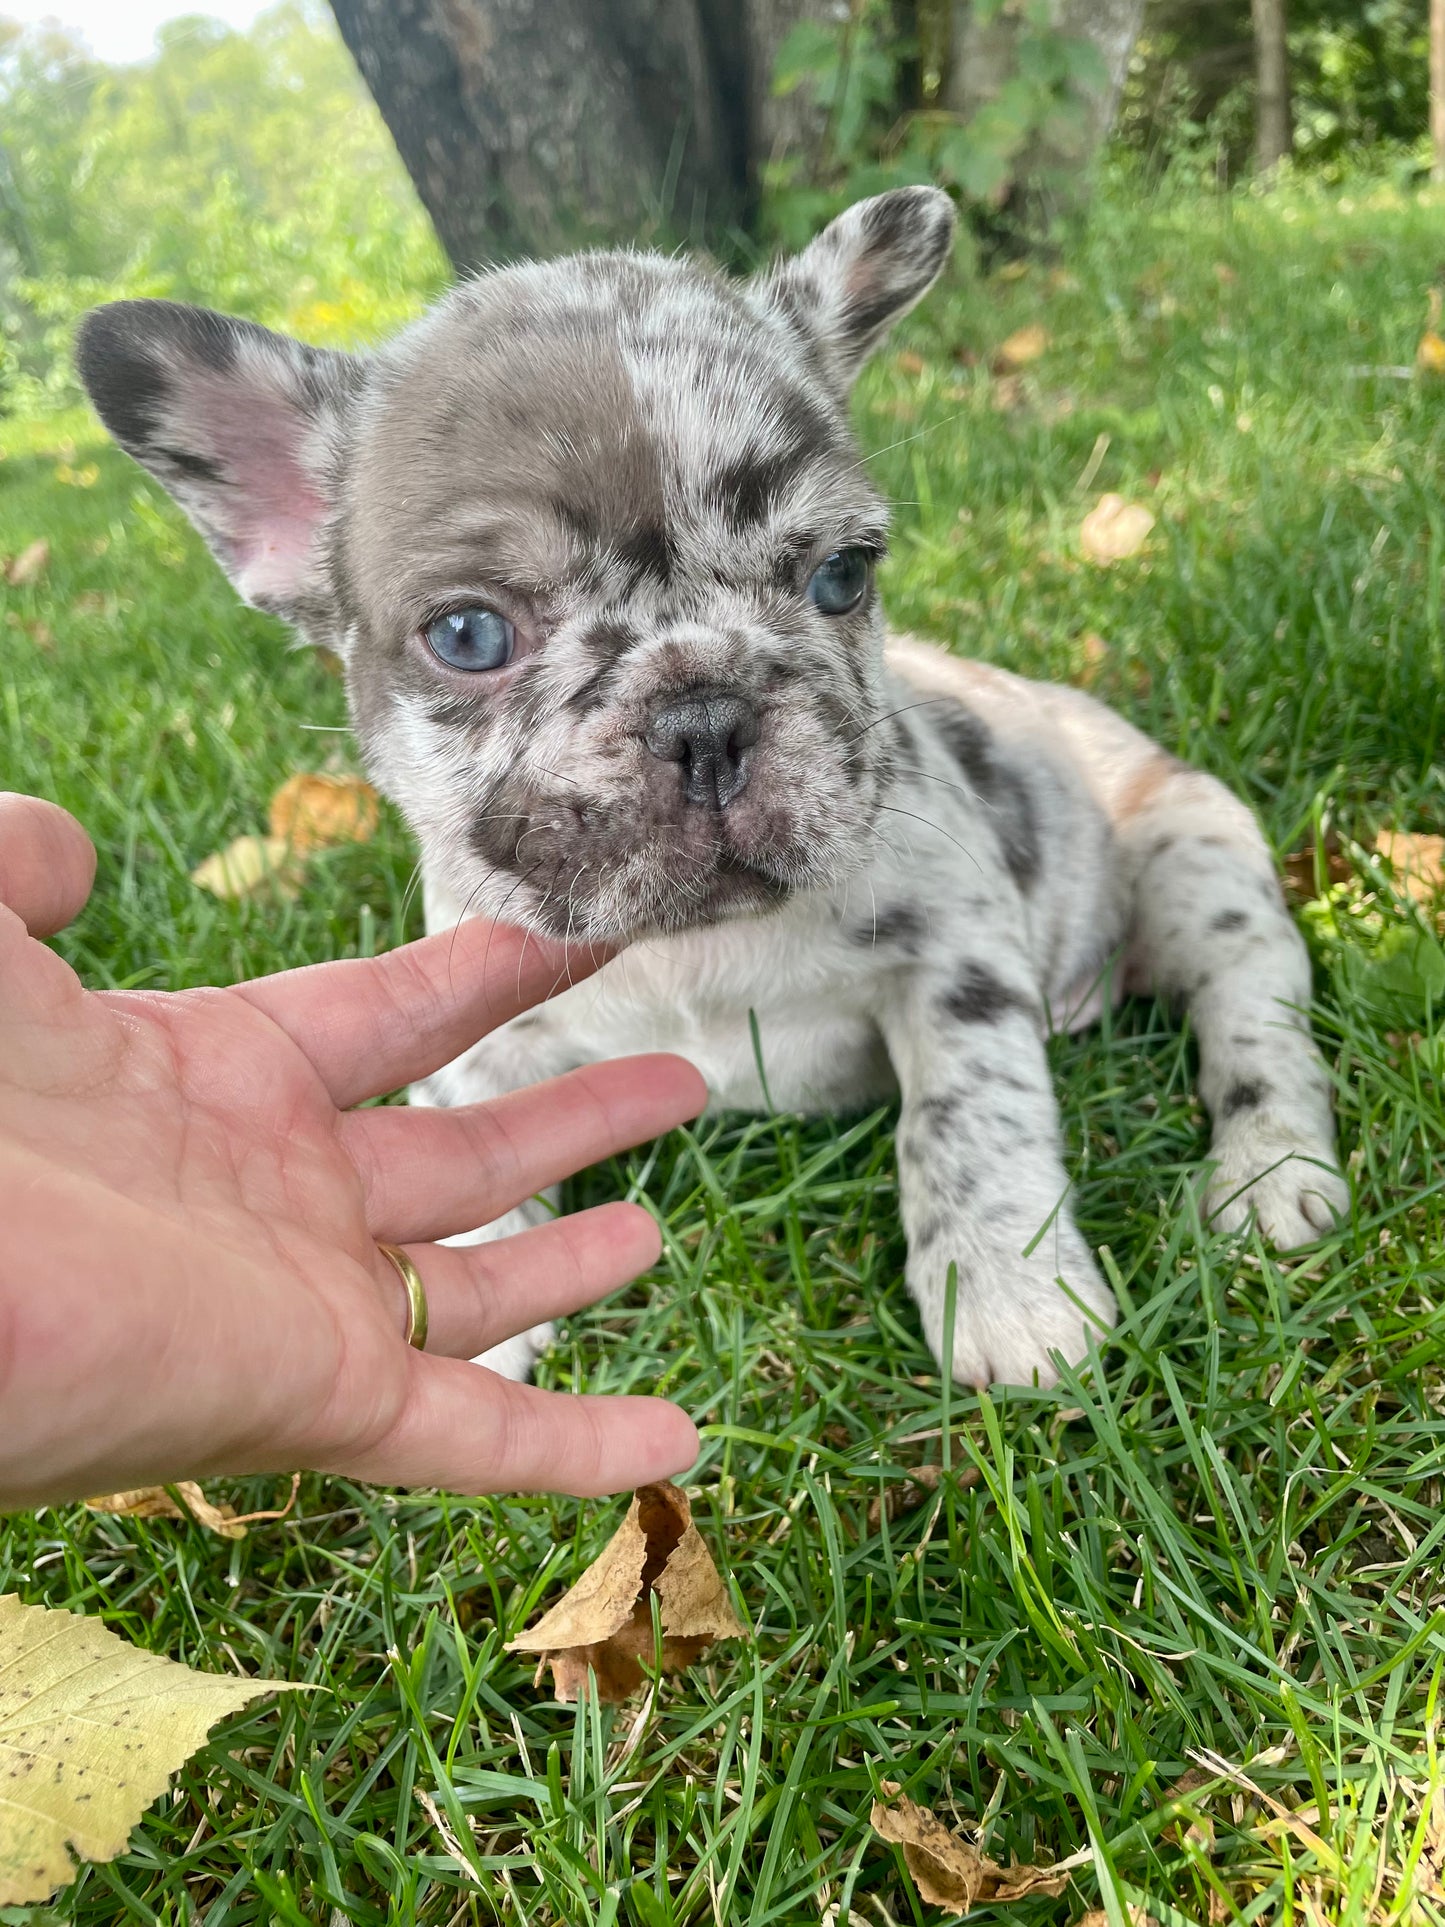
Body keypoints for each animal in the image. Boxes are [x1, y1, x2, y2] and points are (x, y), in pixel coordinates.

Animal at [76, 191, 1348, 1387]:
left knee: (1253, 1011)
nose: (702, 715)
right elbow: (462, 1131)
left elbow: (965, 1114)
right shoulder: (480, 1023)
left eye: (841, 575)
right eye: (468, 635)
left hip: (1194, 860)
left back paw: (1267, 1174)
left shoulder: (957, 955)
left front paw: (1008, 1290)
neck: (686, 944)